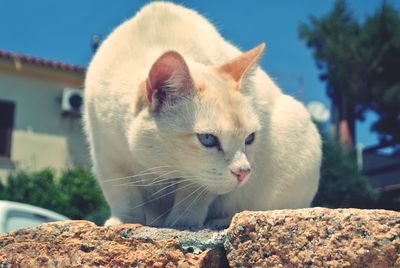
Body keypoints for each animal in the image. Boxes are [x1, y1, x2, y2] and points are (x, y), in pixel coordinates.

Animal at [83, 1, 322, 228]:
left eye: (250, 138)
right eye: (207, 139)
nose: (244, 172)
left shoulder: (201, 180)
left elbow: (194, 196)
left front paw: (183, 222)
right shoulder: (108, 158)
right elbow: (124, 196)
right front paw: (124, 222)